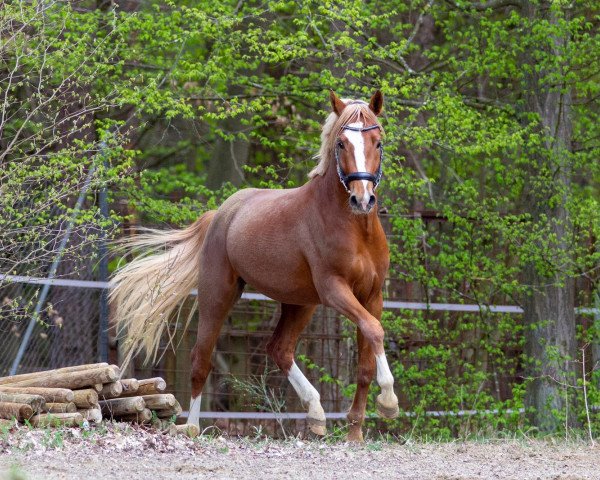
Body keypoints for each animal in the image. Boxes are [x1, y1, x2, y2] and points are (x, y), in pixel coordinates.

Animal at [112, 91, 400, 442]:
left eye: (378, 142)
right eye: (342, 143)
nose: (362, 199)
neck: (355, 229)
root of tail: (222, 212)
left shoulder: (372, 296)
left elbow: (366, 360)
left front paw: (356, 431)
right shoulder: (335, 290)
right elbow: (374, 330)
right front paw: (389, 401)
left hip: (299, 303)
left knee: (279, 349)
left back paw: (316, 414)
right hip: (218, 294)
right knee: (201, 358)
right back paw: (192, 426)